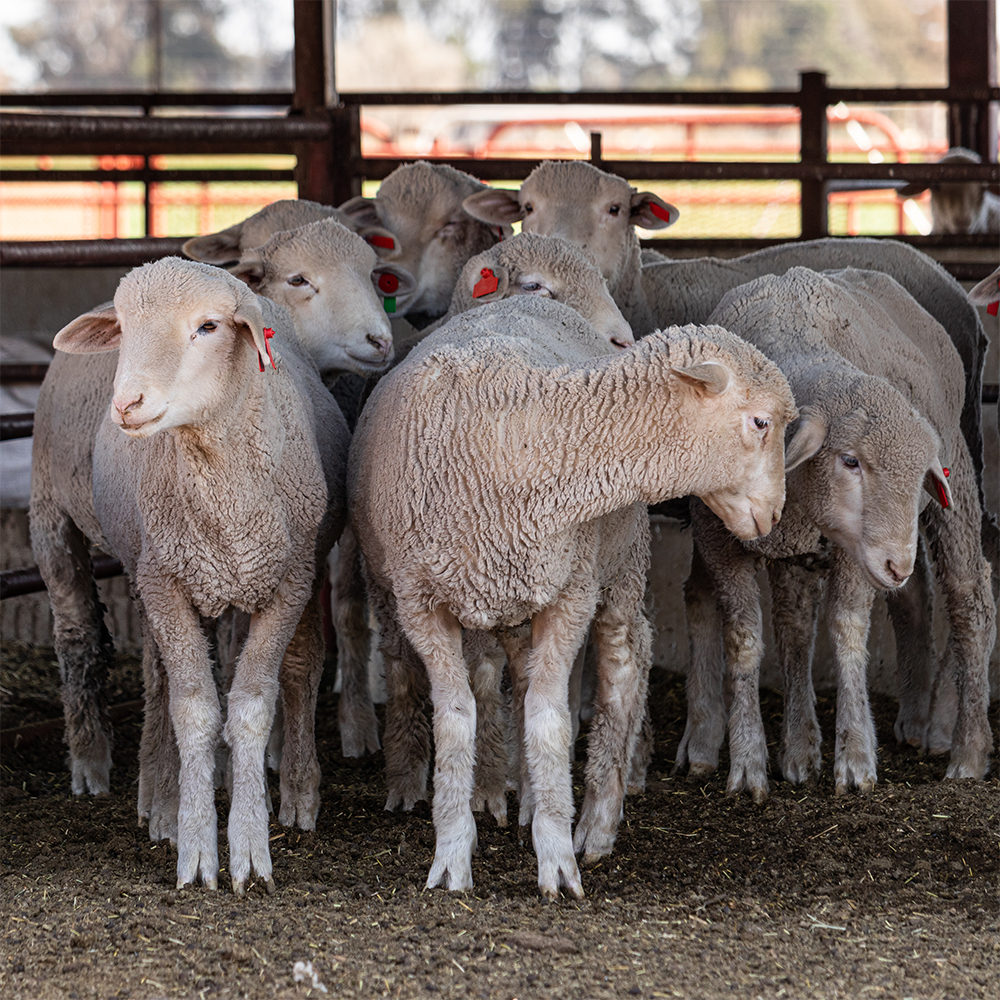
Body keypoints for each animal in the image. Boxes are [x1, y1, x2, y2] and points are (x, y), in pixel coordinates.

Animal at [30, 260, 352, 900]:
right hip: (57, 516)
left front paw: (250, 848)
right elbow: (194, 708)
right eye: (124, 329)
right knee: (97, 646)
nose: (127, 402)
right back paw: (123, 779)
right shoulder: (166, 583)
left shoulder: (287, 583)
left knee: (297, 667)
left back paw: (291, 792)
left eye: (207, 327)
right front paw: (198, 845)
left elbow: (250, 705)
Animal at [348, 300, 800, 896]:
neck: (518, 439)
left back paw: (597, 824)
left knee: (623, 666)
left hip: (620, 565)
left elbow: (550, 719)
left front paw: (558, 858)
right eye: (760, 422)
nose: (774, 515)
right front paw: (452, 854)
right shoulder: (423, 602)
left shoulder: (570, 596)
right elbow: (457, 717)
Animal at [676, 266, 996, 804]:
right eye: (850, 461)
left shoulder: (854, 552)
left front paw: (855, 759)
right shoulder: (722, 539)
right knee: (851, 615)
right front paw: (755, 761)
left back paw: (967, 754)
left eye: (918, 475)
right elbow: (752, 640)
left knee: (969, 598)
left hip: (955, 485)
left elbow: (847, 631)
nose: (897, 563)